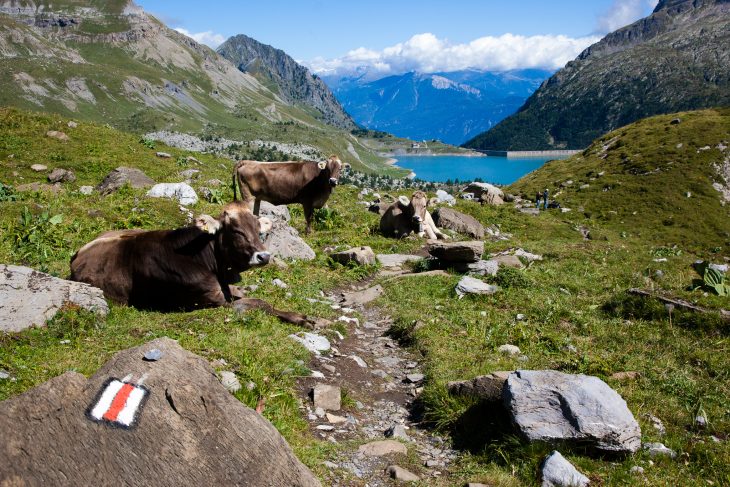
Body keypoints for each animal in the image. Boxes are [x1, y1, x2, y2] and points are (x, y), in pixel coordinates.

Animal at [69, 202, 318, 328]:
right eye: (236, 231)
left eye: (258, 230)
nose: (264, 256)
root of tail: (78, 253)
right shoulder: (212, 300)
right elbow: (258, 303)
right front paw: (300, 318)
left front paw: (300, 317)